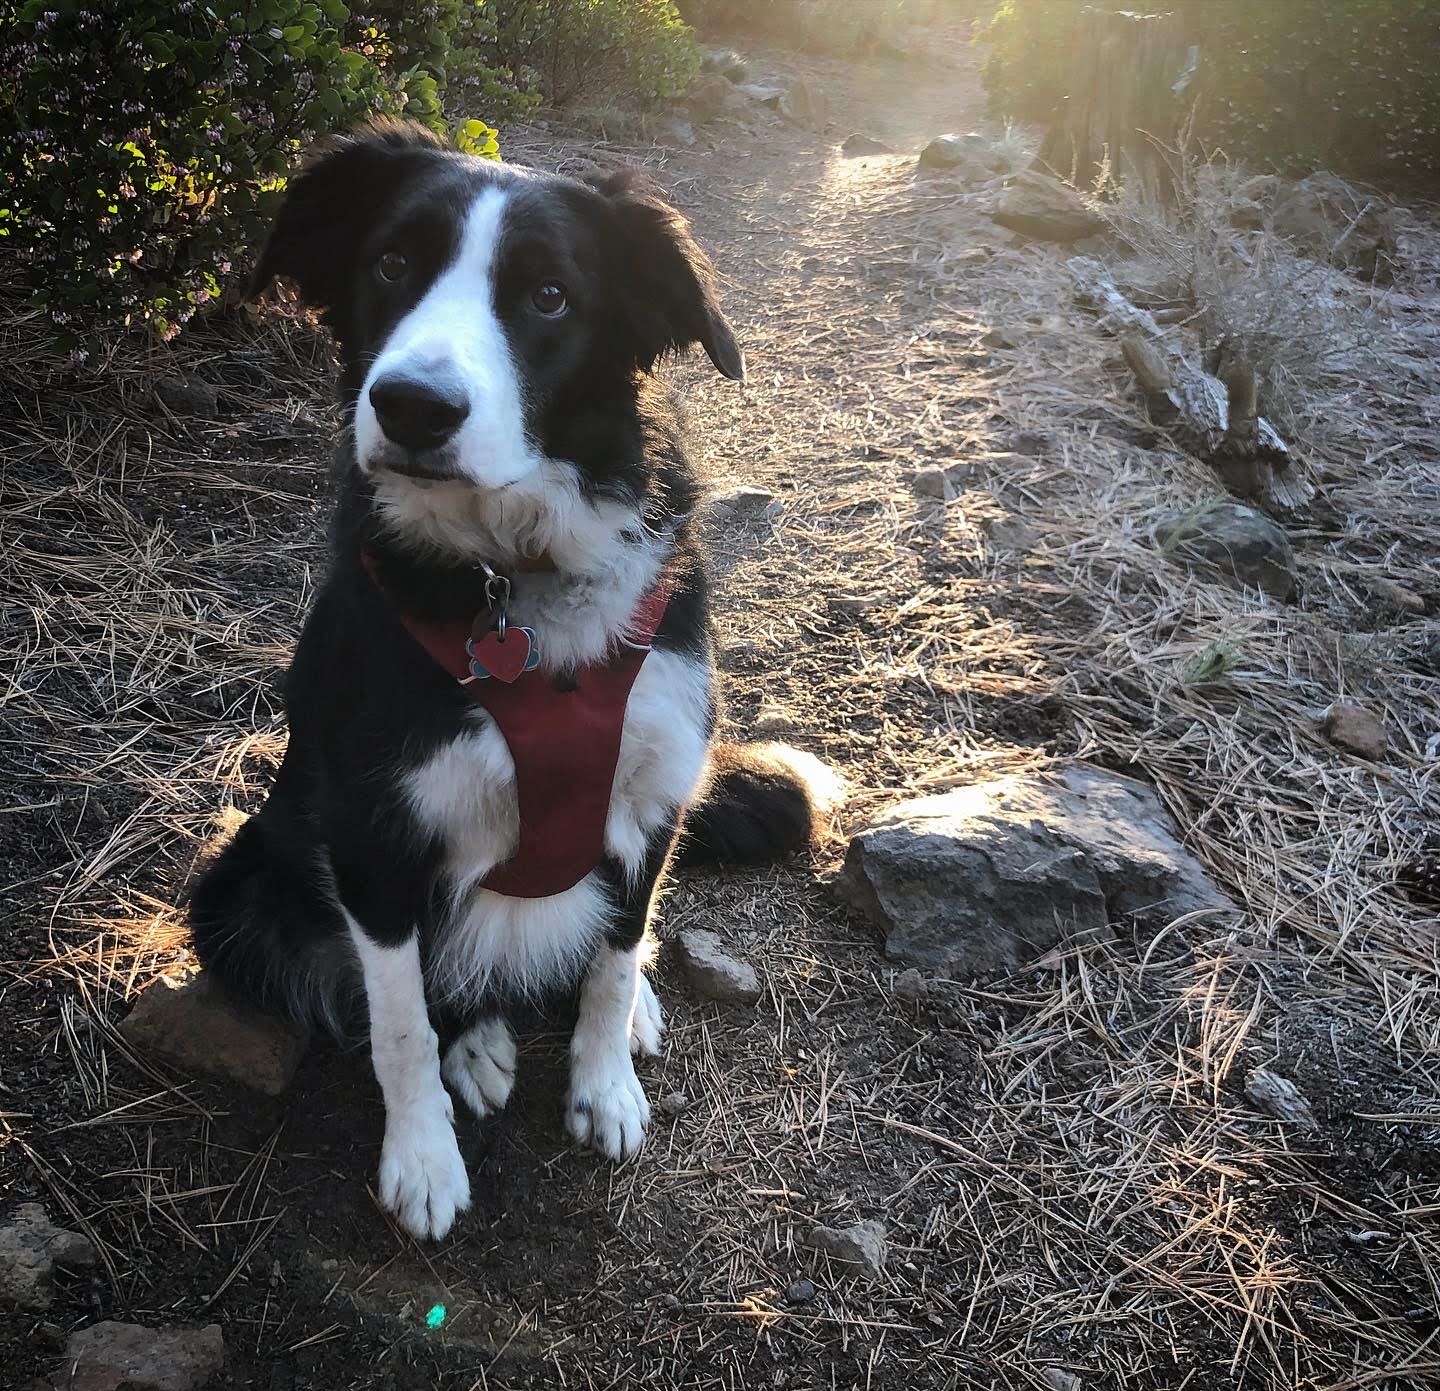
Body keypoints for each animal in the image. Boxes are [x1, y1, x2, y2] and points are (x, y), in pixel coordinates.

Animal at [192, 122, 840, 1244]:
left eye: (548, 296)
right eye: (390, 265)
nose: (411, 405)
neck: (519, 579)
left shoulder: (656, 790)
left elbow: (615, 954)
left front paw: (605, 1076)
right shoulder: (372, 833)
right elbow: (400, 1019)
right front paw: (422, 1156)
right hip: (240, 889)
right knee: (435, 979)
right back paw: (479, 1041)